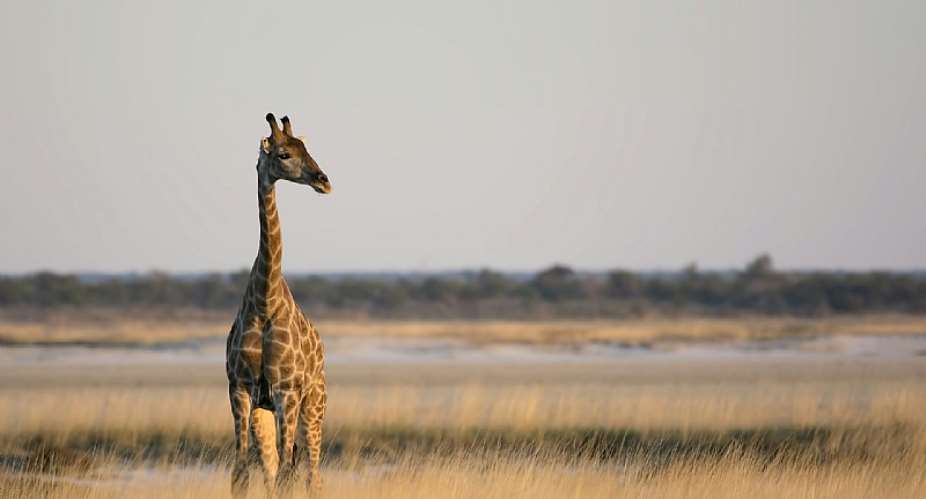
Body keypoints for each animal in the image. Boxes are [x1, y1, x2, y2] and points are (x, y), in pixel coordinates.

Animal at [225, 113, 331, 497]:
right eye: (284, 154)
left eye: (307, 148)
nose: (323, 181)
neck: (264, 302)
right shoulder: (240, 390)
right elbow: (241, 474)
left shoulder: (287, 391)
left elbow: (288, 475)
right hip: (266, 413)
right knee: (273, 468)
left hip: (313, 406)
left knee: (311, 473)